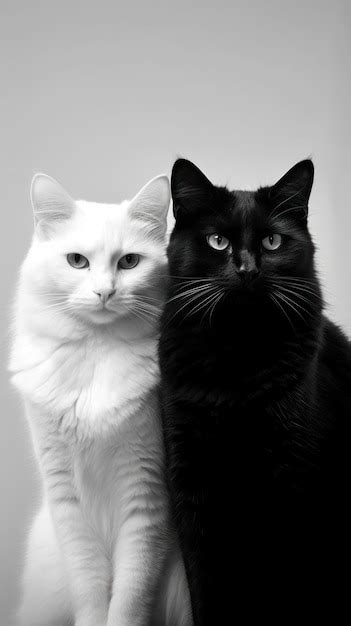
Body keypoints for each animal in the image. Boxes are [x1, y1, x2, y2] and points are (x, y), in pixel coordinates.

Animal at [9, 174, 192, 624]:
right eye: (77, 261)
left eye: (129, 262)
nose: (105, 292)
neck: (97, 348)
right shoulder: (67, 501)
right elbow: (91, 587)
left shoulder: (147, 496)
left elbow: (129, 595)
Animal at [160, 158, 351, 620]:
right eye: (217, 241)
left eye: (272, 240)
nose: (247, 269)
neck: (236, 359)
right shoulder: (192, 486)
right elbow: (206, 585)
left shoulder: (293, 490)